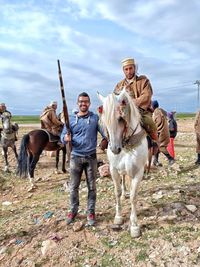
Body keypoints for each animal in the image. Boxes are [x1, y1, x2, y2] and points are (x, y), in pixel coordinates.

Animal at [98, 89, 148, 238]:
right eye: (104, 120)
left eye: (121, 118)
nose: (115, 149)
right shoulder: (113, 170)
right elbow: (117, 192)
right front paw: (118, 217)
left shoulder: (138, 173)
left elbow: (133, 197)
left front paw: (134, 225)